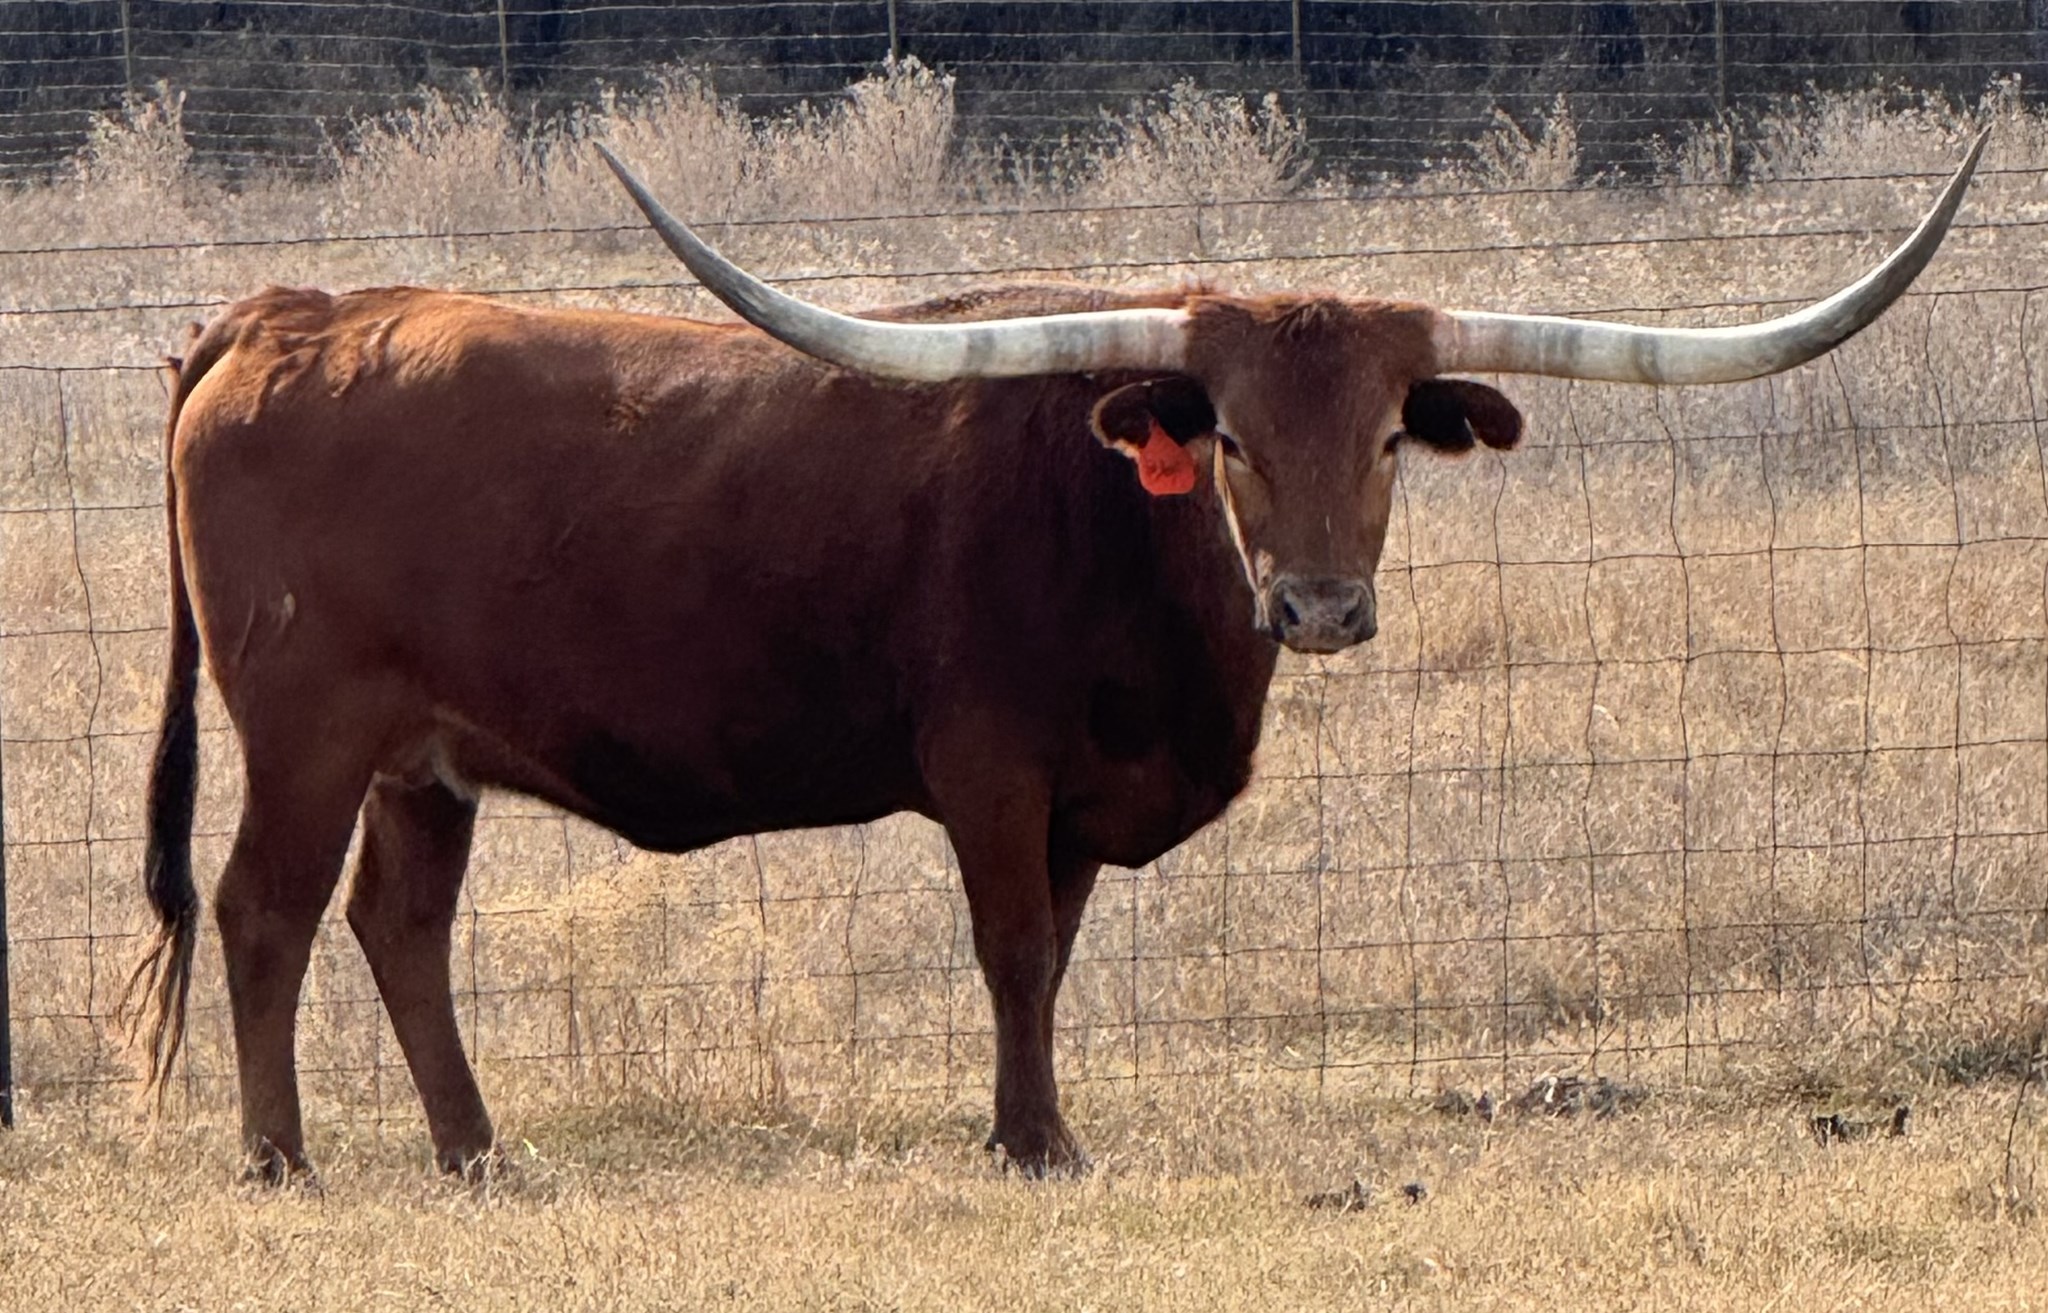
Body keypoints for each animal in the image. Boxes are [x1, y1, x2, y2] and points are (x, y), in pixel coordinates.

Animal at [121, 131, 1986, 1182]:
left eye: (1391, 435)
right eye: (1228, 435)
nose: (1319, 607)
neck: (1125, 544)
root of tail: (288, 314)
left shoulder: (1083, 799)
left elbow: (1058, 964)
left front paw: (1036, 1120)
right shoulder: (994, 774)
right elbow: (1012, 951)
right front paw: (1034, 1145)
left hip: (424, 758)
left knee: (399, 926)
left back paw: (472, 1151)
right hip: (306, 728)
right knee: (266, 913)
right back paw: (279, 1157)